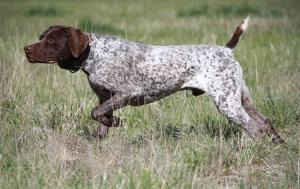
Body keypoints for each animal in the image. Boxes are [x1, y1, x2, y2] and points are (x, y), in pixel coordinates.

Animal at [24, 17, 284, 143]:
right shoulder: (106, 98)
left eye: (51, 40)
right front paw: (109, 129)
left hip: (227, 103)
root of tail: (226, 50)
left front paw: (116, 122)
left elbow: (95, 113)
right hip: (241, 99)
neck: (93, 54)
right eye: (41, 36)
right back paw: (278, 144)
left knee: (255, 128)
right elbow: (101, 120)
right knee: (266, 122)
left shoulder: (127, 93)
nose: (26, 49)